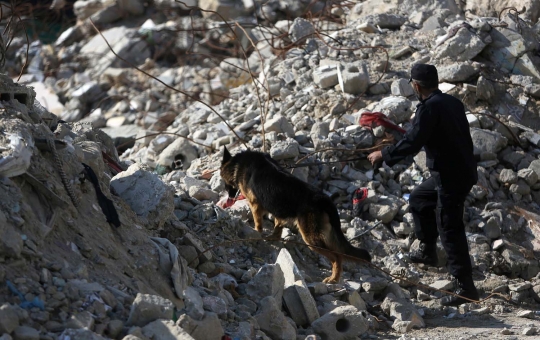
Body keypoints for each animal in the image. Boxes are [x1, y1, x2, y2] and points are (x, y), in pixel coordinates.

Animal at [220, 147, 372, 282]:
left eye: (224, 182)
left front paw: (257, 233)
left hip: (311, 238)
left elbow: (258, 224)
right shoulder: (278, 209)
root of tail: (324, 199)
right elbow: (278, 226)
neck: (238, 163)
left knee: (337, 257)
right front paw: (273, 237)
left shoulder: (255, 204)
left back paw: (333, 279)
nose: (229, 196)